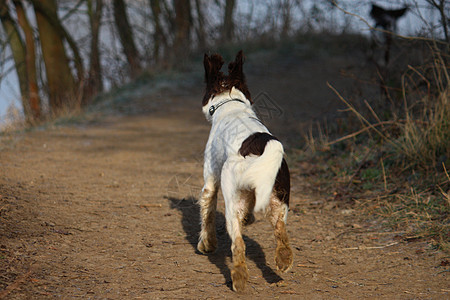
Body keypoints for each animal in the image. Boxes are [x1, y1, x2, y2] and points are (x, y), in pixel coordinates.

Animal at [199, 50, 294, 292]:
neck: (229, 102)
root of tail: (262, 144)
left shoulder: (211, 180)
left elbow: (207, 210)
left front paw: (206, 244)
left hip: (232, 195)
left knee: (238, 244)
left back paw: (239, 279)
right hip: (278, 198)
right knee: (280, 230)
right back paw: (283, 261)